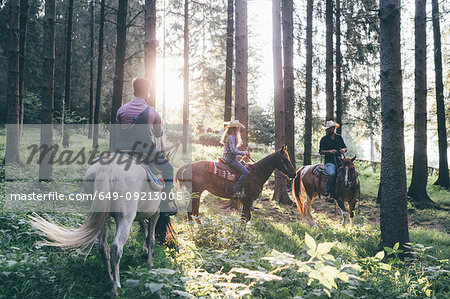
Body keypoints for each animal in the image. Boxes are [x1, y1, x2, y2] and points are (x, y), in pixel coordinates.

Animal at [28, 156, 172, 296]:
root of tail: (107, 168)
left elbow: (145, 228)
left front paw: (145, 253)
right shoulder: (156, 213)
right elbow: (151, 238)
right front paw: (149, 263)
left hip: (102, 217)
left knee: (103, 247)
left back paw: (110, 279)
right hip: (125, 218)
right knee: (116, 247)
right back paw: (116, 287)